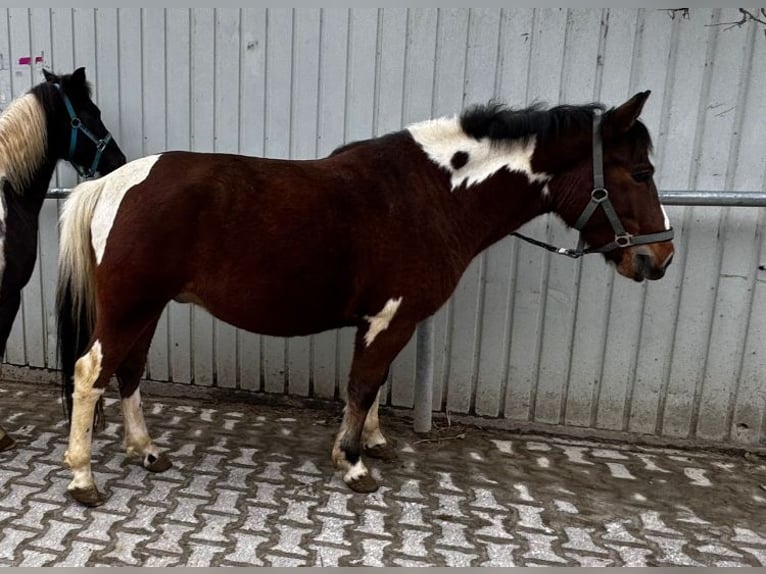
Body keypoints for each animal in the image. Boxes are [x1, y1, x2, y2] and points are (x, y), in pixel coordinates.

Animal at [56, 91, 674, 506]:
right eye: (641, 171)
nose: (659, 258)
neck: (433, 195)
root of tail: (112, 183)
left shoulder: (387, 319)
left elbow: (375, 384)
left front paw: (371, 442)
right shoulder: (390, 317)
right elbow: (362, 383)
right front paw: (353, 465)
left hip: (148, 307)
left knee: (130, 371)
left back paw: (146, 451)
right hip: (130, 306)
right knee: (91, 373)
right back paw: (83, 477)